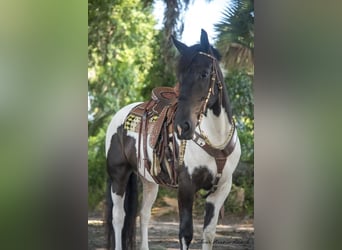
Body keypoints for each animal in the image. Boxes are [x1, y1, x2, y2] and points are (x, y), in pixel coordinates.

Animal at [104, 29, 240, 250]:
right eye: (180, 78)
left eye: (204, 74)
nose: (182, 127)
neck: (215, 138)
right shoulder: (186, 187)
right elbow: (185, 234)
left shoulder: (221, 189)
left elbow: (209, 234)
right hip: (119, 177)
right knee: (118, 217)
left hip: (149, 181)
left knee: (144, 215)